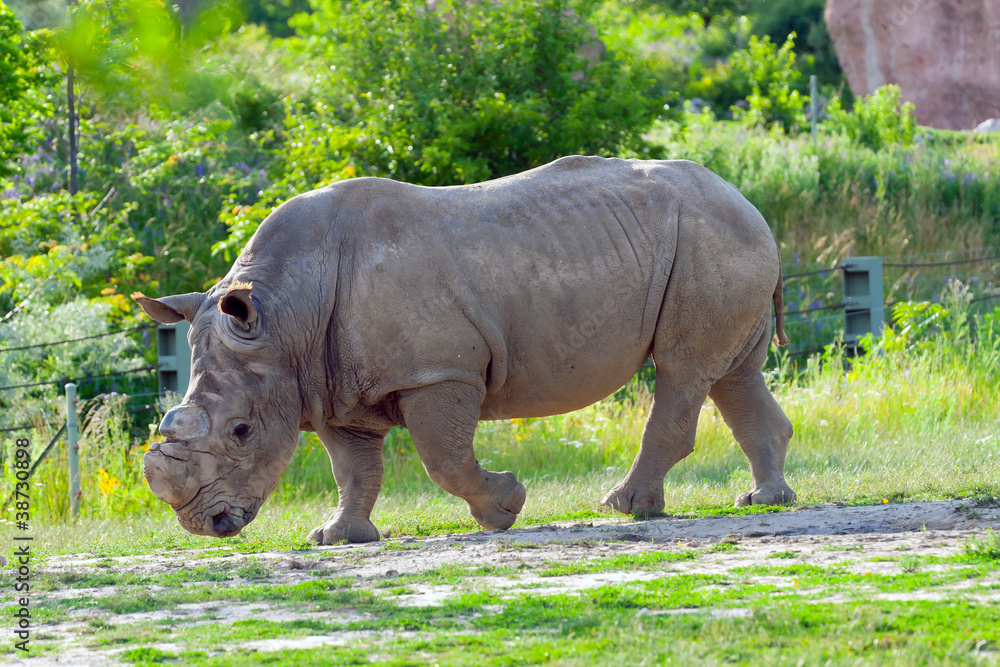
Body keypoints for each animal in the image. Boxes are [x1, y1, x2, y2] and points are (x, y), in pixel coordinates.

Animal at [133, 156, 796, 544]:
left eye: (241, 431)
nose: (204, 524)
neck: (283, 313)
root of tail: (747, 199)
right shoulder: (330, 387)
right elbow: (353, 467)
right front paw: (338, 537)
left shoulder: (437, 371)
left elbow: (442, 459)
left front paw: (505, 509)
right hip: (723, 242)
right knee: (731, 374)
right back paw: (764, 500)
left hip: (712, 240)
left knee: (682, 369)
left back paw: (626, 508)